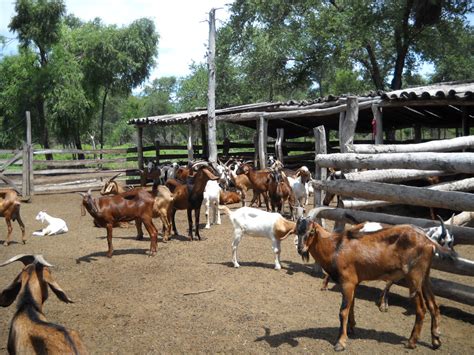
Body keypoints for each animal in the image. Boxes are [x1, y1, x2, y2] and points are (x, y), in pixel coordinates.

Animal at [296, 214, 456, 354]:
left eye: (311, 231)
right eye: (297, 231)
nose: (300, 249)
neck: (335, 247)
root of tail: (429, 241)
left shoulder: (347, 282)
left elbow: (343, 311)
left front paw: (340, 342)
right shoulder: (354, 282)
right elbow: (351, 305)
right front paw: (351, 328)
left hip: (414, 276)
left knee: (421, 309)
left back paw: (411, 342)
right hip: (425, 276)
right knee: (433, 306)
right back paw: (436, 340)